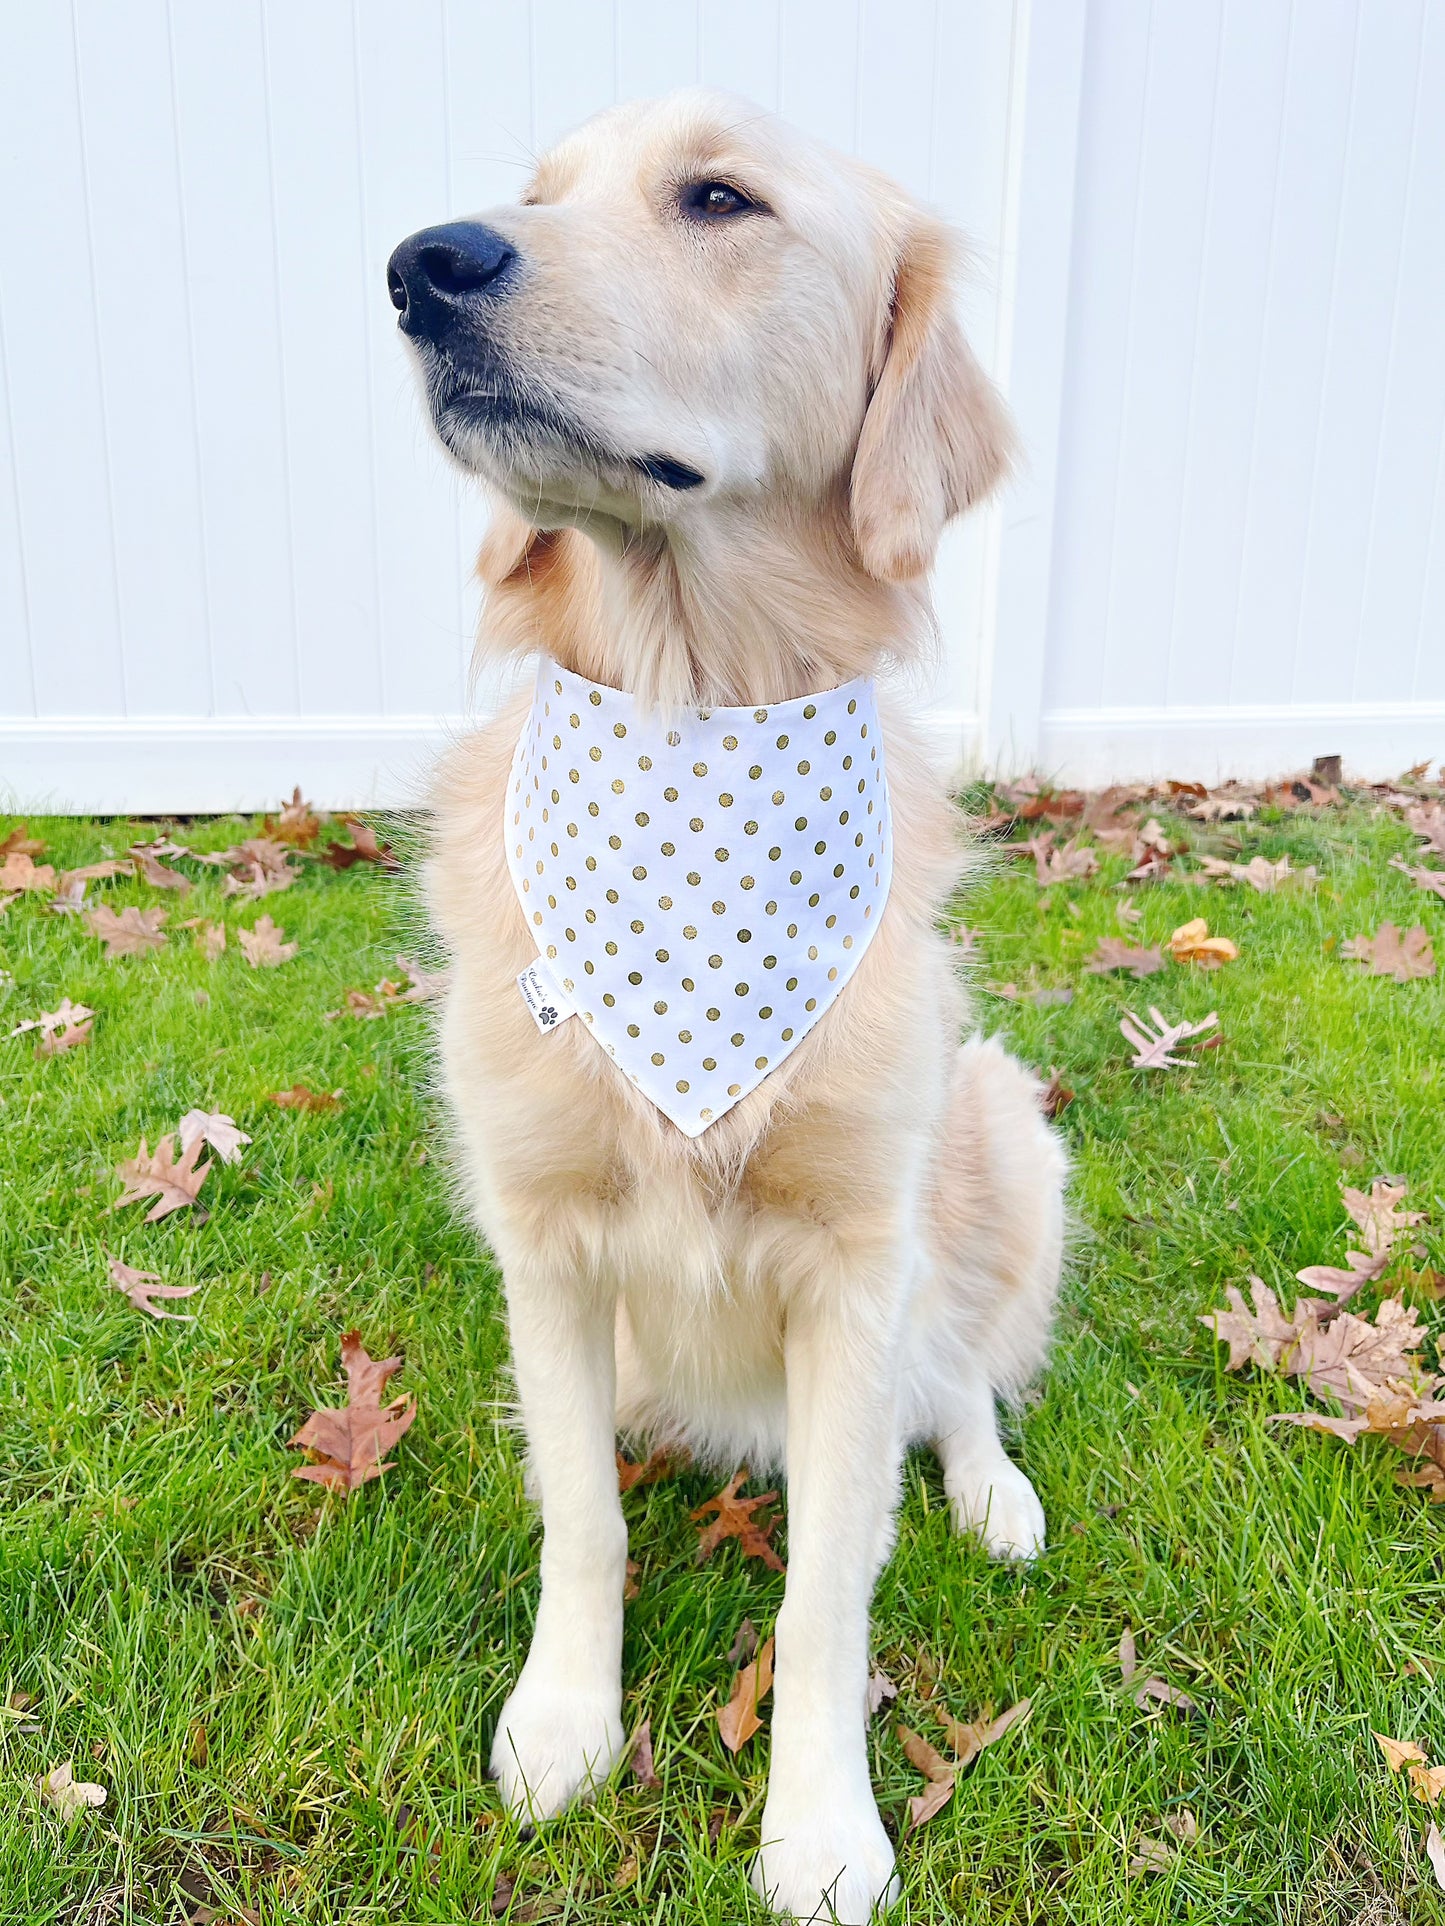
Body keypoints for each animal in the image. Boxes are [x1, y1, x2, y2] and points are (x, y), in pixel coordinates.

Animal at [391, 82, 1071, 1918]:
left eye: (717, 197)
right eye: (538, 191)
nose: (424, 263)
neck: (691, 709)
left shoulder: (854, 1267)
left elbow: (830, 1592)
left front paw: (822, 1828)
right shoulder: (544, 1246)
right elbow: (584, 1518)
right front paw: (565, 1723)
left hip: (1001, 1122)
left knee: (957, 1374)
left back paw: (992, 1490)